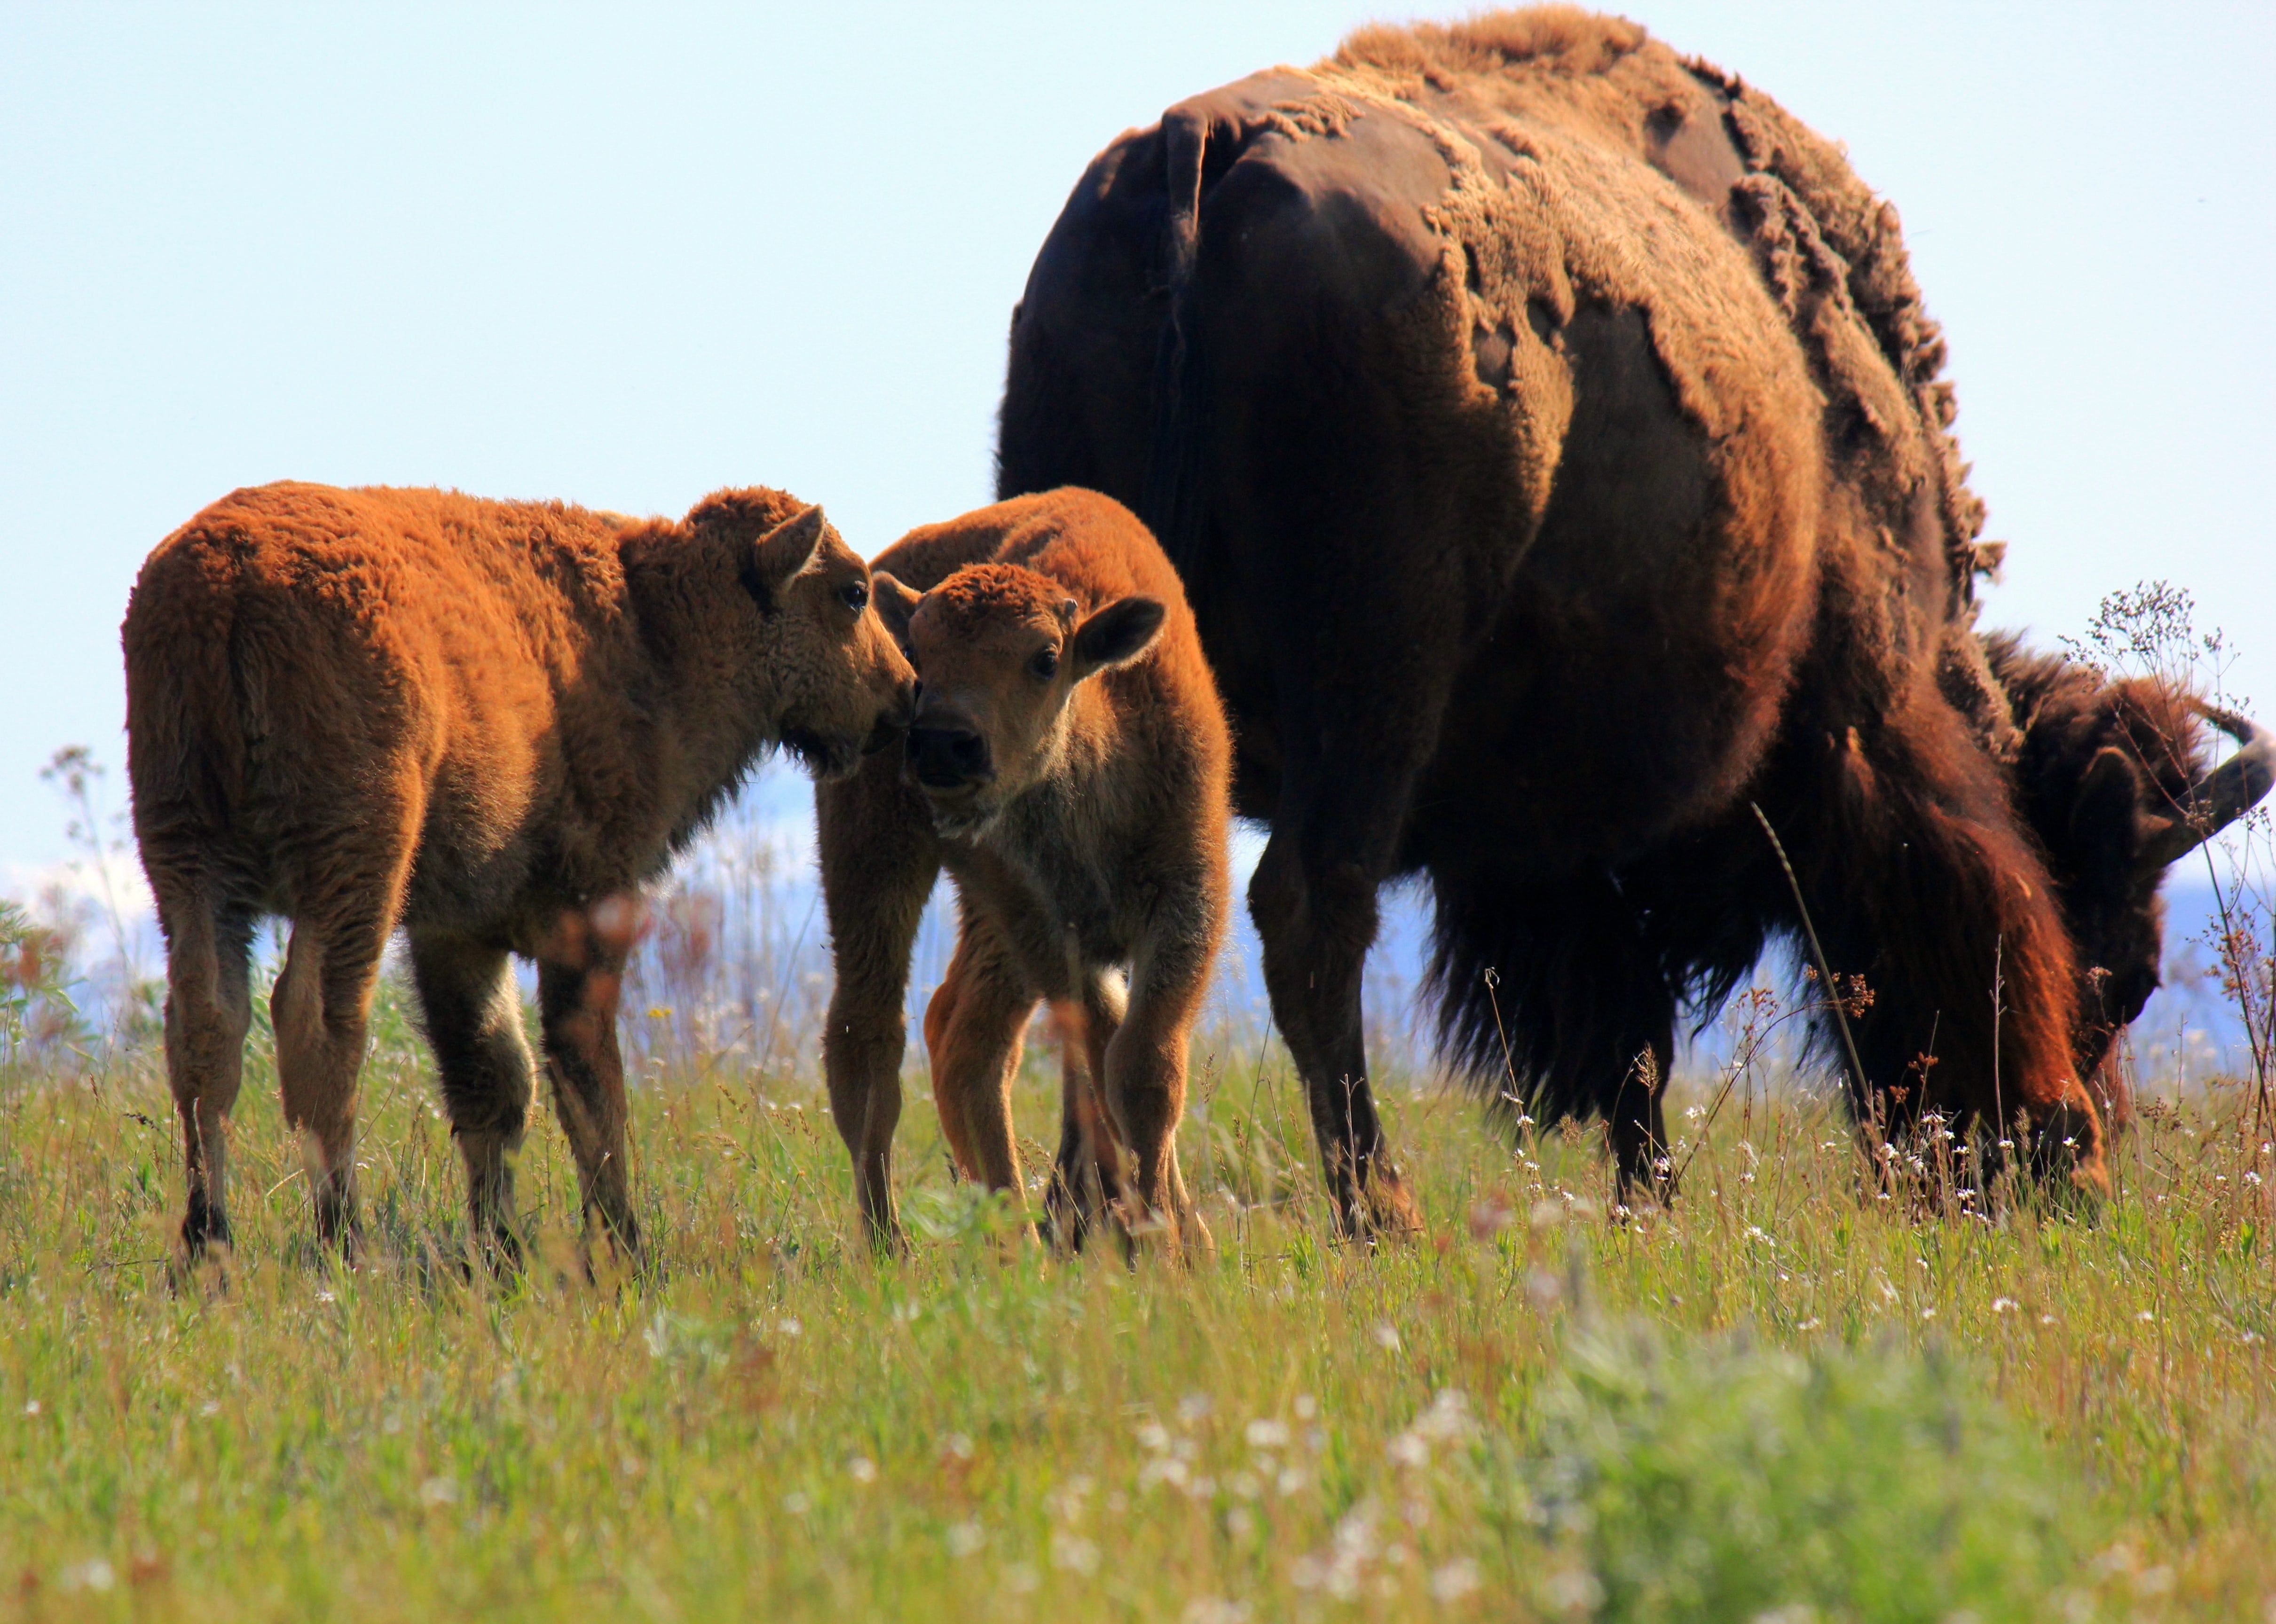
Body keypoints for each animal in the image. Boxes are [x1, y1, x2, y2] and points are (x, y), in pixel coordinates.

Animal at [124, 481, 915, 1262]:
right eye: (851, 592)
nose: (902, 693)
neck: (656, 628)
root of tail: (227, 578)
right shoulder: (590, 903)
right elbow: (587, 1071)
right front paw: (622, 1244)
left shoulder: (457, 931)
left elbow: (491, 1078)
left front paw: (499, 1247)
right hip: (352, 859)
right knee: (317, 1024)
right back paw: (344, 1239)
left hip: (187, 857)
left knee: (208, 1026)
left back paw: (207, 1243)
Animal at [816, 488, 1231, 1254]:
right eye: (919, 653)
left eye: (1044, 658)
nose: (941, 743)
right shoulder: (1046, 932)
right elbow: (1113, 1058)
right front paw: (1153, 1239)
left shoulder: (1188, 904)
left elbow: (1141, 1067)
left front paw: (1175, 1239)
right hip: (876, 858)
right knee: (870, 1040)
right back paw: (898, 1248)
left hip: (984, 920)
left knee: (967, 1040)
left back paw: (1010, 1236)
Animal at [992, 7, 2271, 1230]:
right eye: (2122, 973)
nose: (2067, 1167)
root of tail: (1197, 151)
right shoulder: (1823, 738)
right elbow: (1643, 1034)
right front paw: (1642, 1200)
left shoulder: (1542, 852)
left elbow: (1615, 1039)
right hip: (1367, 695)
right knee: (1313, 913)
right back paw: (1376, 1212)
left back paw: (1082, 1212)